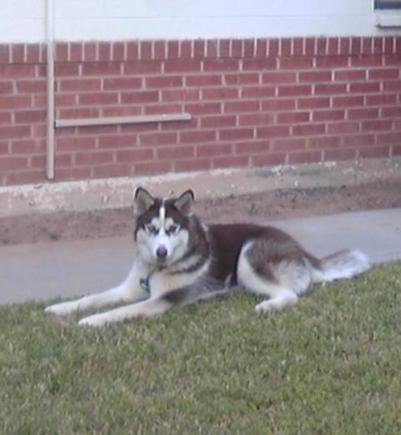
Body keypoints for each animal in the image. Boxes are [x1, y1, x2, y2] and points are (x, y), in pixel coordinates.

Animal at [44, 187, 368, 328]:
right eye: (152, 228)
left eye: (172, 229)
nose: (161, 251)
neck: (156, 270)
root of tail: (300, 248)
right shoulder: (131, 288)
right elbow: (92, 297)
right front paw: (60, 308)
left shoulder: (162, 300)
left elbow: (121, 311)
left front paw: (92, 320)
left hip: (248, 256)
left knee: (290, 294)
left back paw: (267, 305)